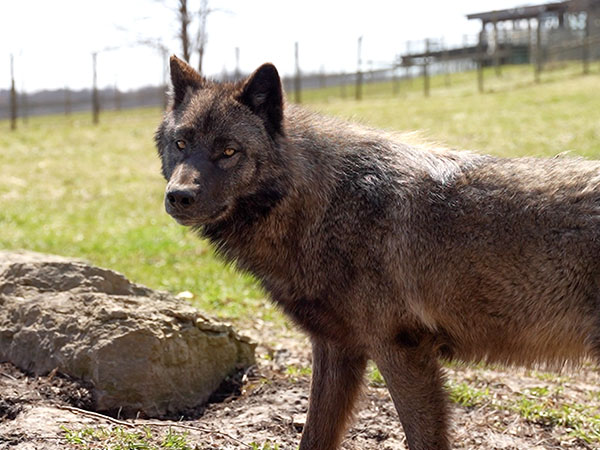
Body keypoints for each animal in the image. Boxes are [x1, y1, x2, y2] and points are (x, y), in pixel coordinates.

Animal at [156, 57, 600, 450]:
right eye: (181, 143)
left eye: (229, 151)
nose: (178, 196)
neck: (323, 204)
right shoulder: (336, 348)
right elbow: (313, 438)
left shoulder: (399, 350)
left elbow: (422, 440)